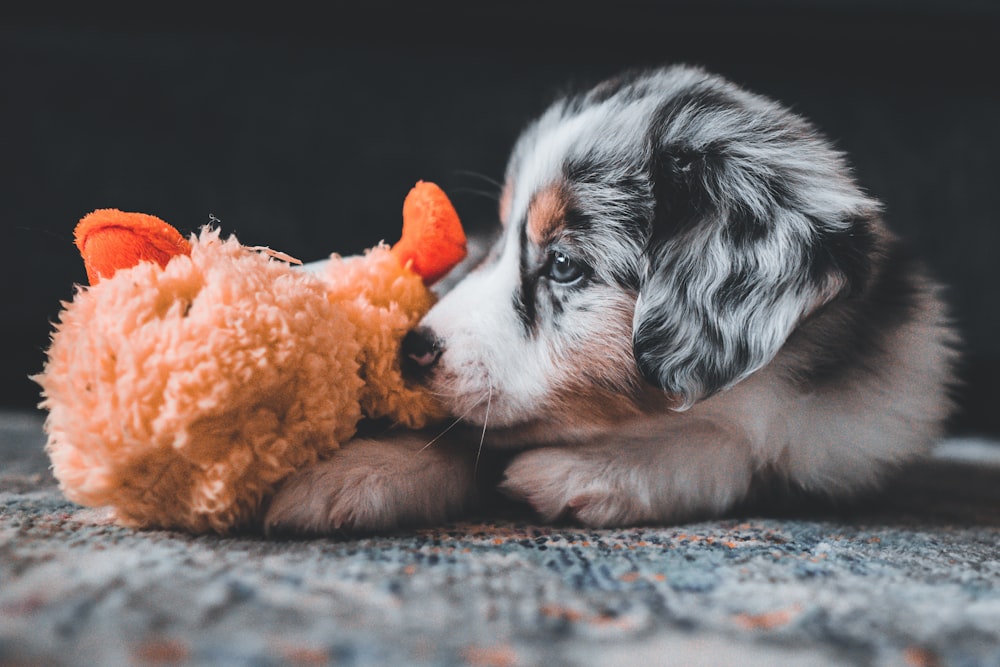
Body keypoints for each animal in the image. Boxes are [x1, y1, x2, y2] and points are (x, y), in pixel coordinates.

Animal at [266, 65, 960, 536]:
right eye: (502, 239)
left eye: (563, 265)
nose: (411, 349)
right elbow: (459, 434)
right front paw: (351, 473)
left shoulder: (853, 431)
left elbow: (738, 447)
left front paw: (593, 472)